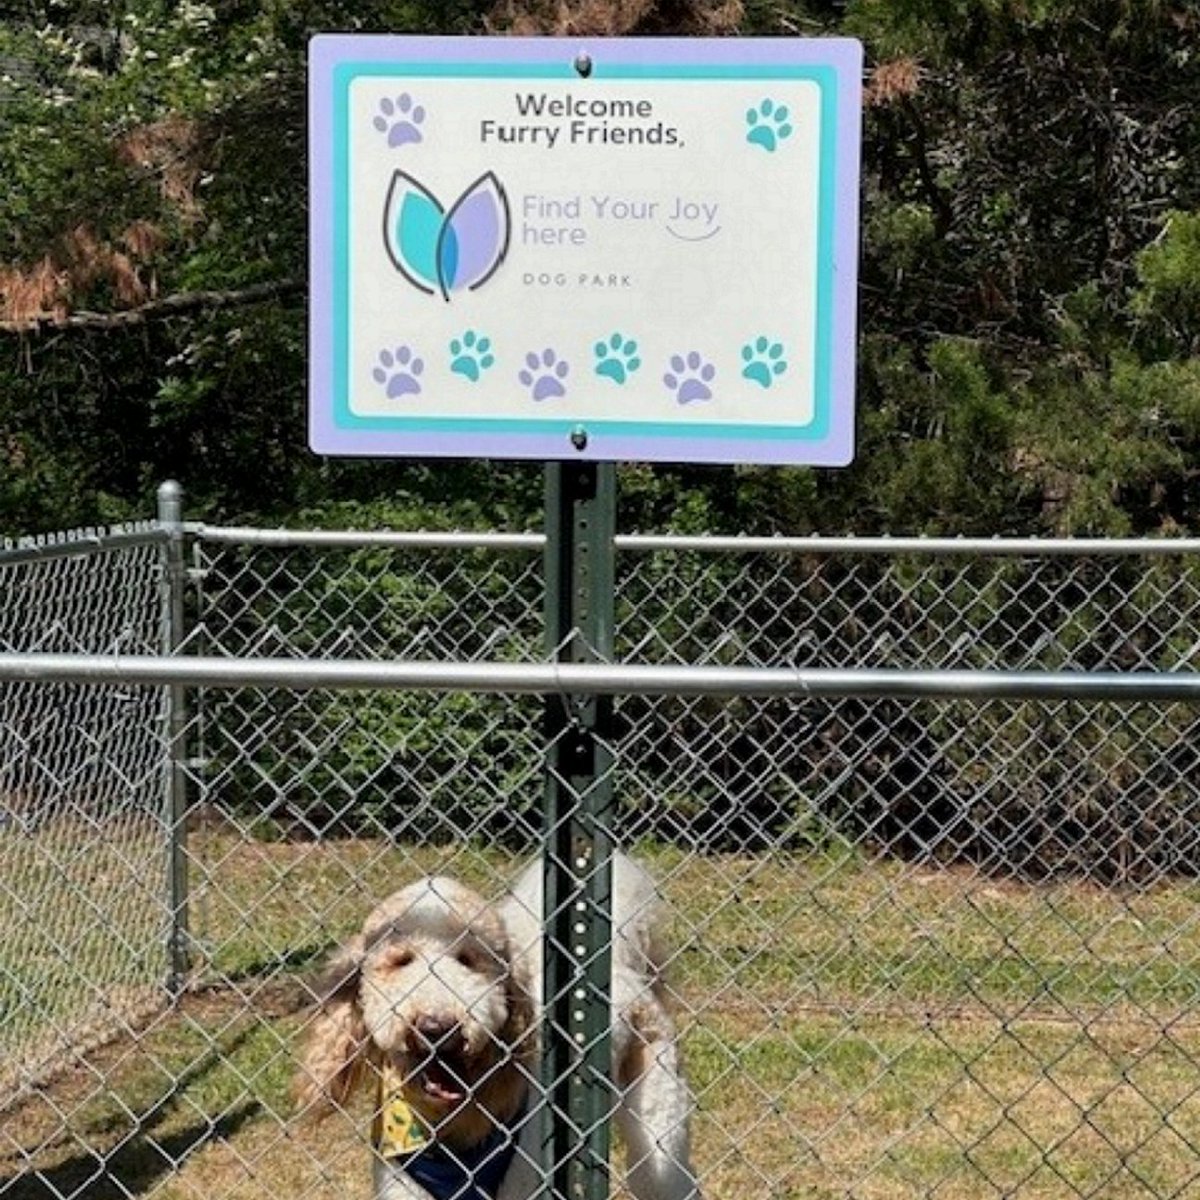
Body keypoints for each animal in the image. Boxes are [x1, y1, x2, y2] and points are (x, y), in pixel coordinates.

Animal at [294, 854, 700, 1200]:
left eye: (469, 960)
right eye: (401, 960)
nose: (437, 1026)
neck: (452, 1127)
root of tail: (623, 969)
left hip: (658, 1134)